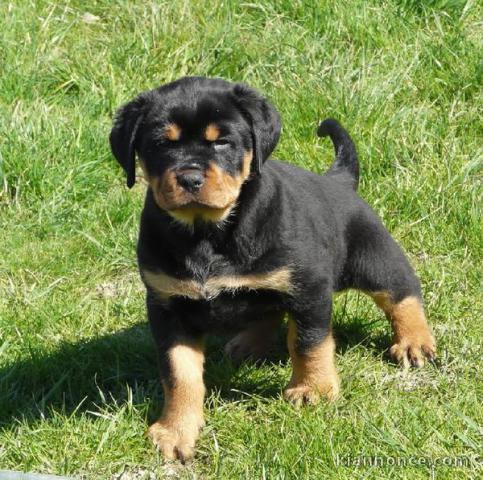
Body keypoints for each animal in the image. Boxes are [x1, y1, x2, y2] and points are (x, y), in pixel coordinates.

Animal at [108, 76, 434, 462]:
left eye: (222, 141)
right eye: (160, 144)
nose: (189, 178)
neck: (207, 233)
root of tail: (337, 179)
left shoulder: (308, 286)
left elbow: (308, 342)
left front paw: (312, 390)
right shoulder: (168, 306)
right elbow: (179, 373)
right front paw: (175, 430)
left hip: (373, 255)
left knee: (402, 292)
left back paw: (414, 342)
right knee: (268, 310)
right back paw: (248, 344)